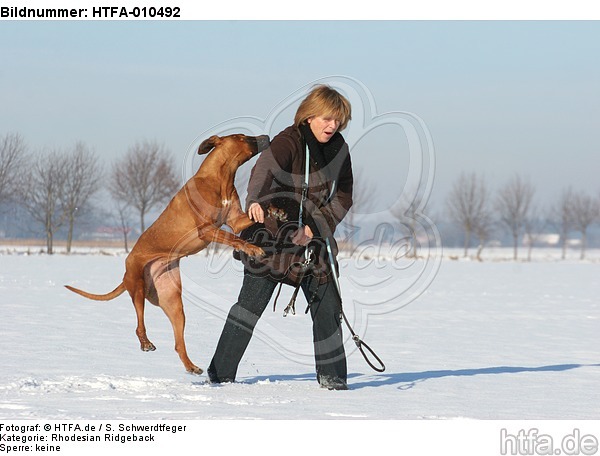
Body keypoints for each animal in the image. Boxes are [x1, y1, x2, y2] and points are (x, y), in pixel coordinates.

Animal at [65, 134, 268, 374]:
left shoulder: (235, 221)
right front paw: (253, 248)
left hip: (173, 302)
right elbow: (235, 238)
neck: (220, 177)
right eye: (243, 137)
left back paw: (191, 366)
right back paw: (145, 343)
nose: (266, 137)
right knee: (139, 324)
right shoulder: (207, 229)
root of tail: (125, 274)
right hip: (137, 286)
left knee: (178, 343)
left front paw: (277, 211)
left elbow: (250, 220)